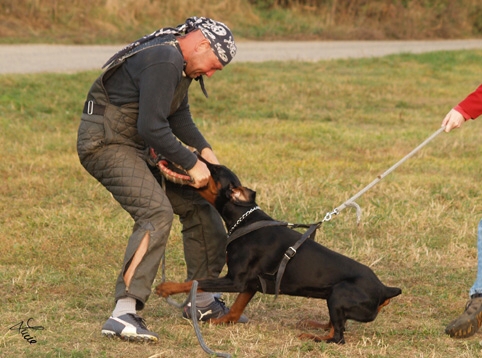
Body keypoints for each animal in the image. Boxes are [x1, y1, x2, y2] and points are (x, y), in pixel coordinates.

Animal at [156, 160, 402, 344]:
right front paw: (217, 322)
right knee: (334, 327)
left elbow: (197, 282)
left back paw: (311, 336)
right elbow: (234, 311)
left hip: (339, 294)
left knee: (338, 337)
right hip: (333, 297)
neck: (245, 220)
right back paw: (313, 324)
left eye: (214, 170)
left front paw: (166, 288)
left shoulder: (235, 280)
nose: (196, 155)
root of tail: (384, 289)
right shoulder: (251, 283)